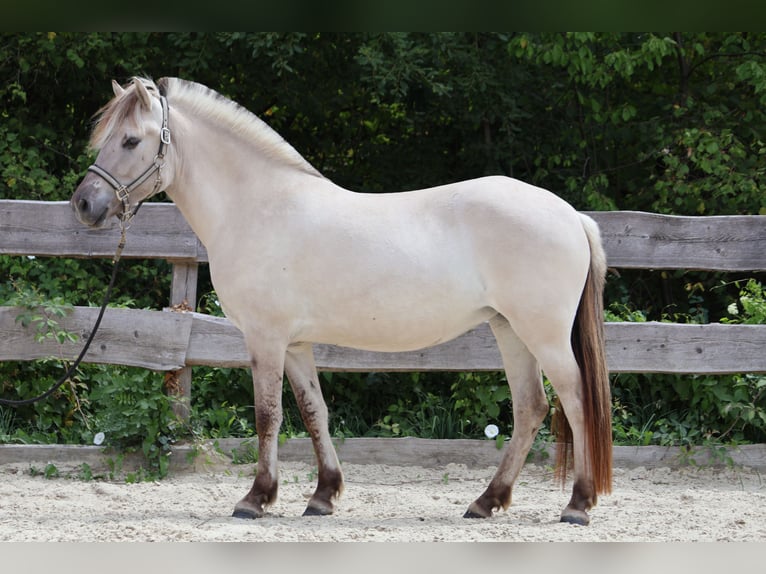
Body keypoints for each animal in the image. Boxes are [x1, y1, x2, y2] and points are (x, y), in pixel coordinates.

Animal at [71, 77, 612, 525]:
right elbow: (315, 412)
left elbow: (268, 415)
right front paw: (322, 496)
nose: (84, 204)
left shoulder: (266, 339)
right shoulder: (295, 345)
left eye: (131, 140)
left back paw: (578, 505)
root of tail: (571, 215)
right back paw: (486, 502)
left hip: (542, 334)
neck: (257, 206)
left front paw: (255, 499)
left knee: (576, 400)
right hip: (508, 329)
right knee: (531, 407)